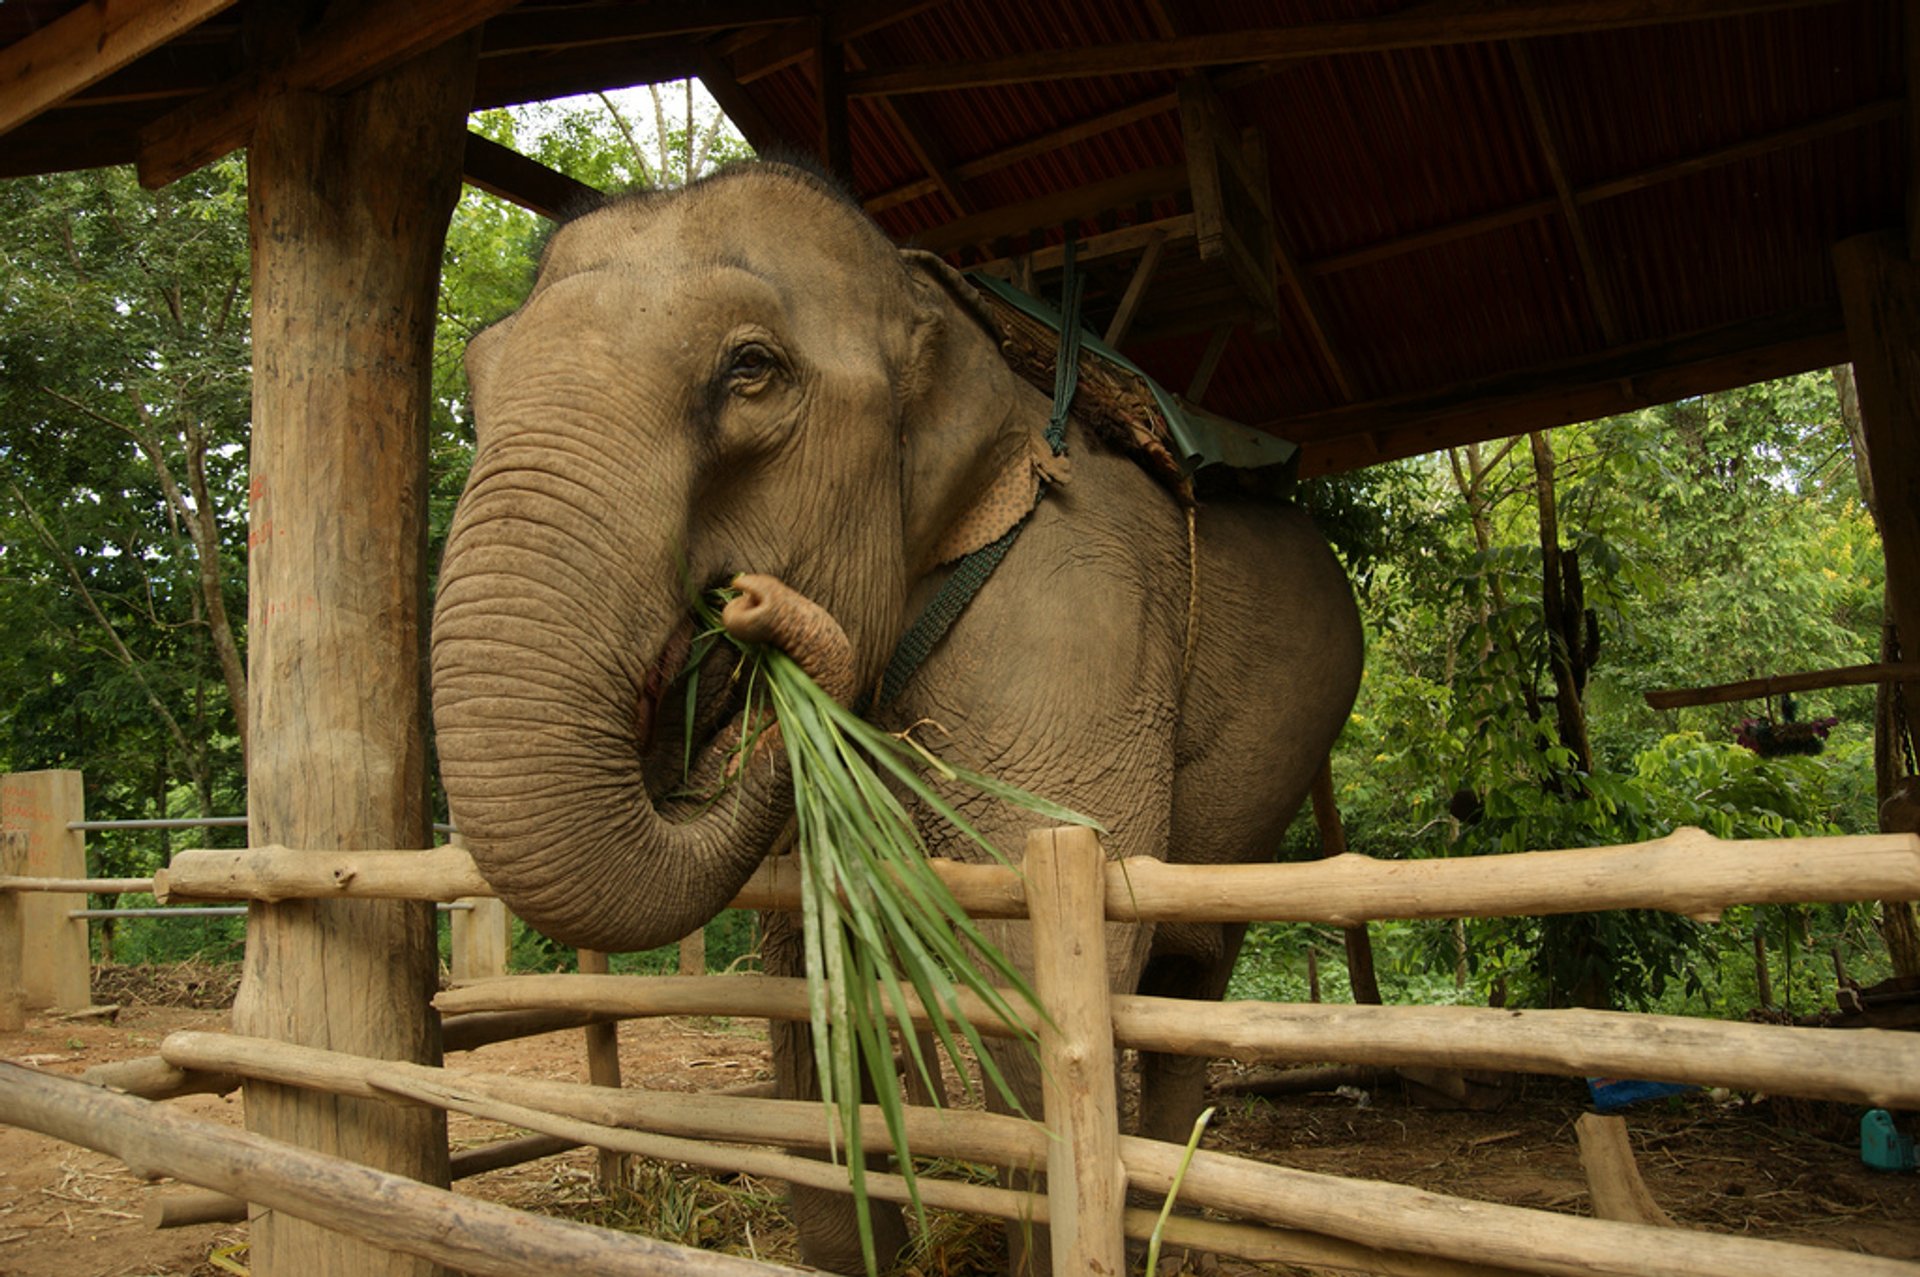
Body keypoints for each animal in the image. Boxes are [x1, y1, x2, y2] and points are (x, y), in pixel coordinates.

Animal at [435, 164, 1367, 1267]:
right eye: (478, 381)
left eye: (751, 369)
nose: (748, 606)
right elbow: (805, 962)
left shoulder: (1080, 608)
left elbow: (1032, 954)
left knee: (1193, 963)